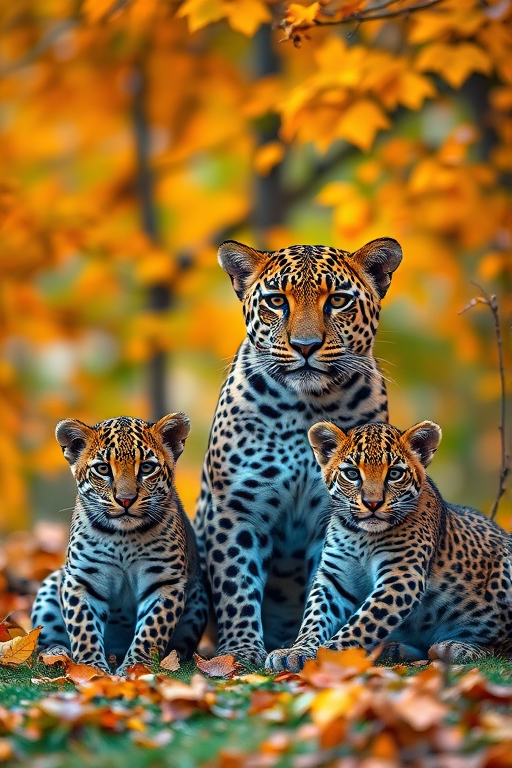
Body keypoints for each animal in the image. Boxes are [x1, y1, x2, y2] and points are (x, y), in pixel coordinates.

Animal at [31, 413, 208, 676]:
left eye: (147, 468)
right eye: (103, 469)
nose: (125, 500)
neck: (123, 538)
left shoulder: (165, 581)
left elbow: (152, 629)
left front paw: (135, 668)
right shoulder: (82, 579)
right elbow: (83, 628)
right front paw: (91, 669)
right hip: (53, 582)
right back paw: (57, 653)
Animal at [194, 237, 403, 664]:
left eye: (338, 300)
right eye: (276, 300)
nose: (306, 346)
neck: (304, 407)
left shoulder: (334, 516)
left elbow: (323, 589)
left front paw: (307, 647)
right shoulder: (237, 507)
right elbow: (236, 582)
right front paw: (240, 650)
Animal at [266, 419, 512, 672]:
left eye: (394, 473)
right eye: (352, 473)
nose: (372, 503)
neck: (362, 537)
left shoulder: (402, 576)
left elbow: (365, 621)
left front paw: (330, 655)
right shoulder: (335, 578)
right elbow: (315, 615)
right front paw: (297, 651)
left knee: (501, 647)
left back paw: (456, 647)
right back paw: (396, 649)